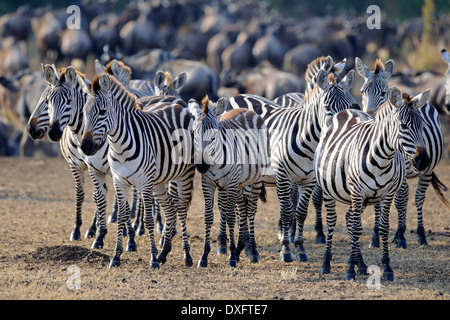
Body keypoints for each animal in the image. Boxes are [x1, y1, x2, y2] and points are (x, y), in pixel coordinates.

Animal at [78, 72, 194, 268]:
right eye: (84, 112)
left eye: (102, 112)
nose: (85, 147)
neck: (118, 146)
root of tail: (177, 104)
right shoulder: (119, 181)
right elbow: (121, 216)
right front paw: (116, 257)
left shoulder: (144, 182)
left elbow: (147, 219)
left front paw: (153, 258)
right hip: (159, 181)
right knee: (170, 207)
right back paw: (164, 253)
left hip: (184, 174)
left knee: (182, 208)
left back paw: (187, 255)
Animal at [187, 95, 268, 268]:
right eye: (193, 132)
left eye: (214, 135)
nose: (201, 166)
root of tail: (247, 110)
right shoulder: (208, 183)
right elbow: (209, 216)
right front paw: (204, 255)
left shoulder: (230, 183)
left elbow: (230, 216)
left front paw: (231, 257)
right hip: (239, 183)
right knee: (242, 209)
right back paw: (241, 249)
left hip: (255, 180)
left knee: (251, 210)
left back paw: (253, 252)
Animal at [229, 68, 358, 262]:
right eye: (327, 108)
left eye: (350, 105)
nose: (345, 128)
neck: (309, 144)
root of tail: (237, 95)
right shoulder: (283, 176)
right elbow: (286, 212)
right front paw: (286, 250)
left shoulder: (309, 180)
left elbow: (301, 212)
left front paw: (300, 248)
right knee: (240, 208)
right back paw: (245, 248)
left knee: (245, 206)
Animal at [314, 85, 430, 280]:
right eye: (403, 126)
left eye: (422, 126)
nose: (423, 161)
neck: (382, 160)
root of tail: (346, 111)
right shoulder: (357, 193)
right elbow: (356, 228)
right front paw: (349, 270)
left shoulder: (387, 195)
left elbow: (382, 228)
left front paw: (387, 267)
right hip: (330, 190)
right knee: (332, 221)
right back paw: (326, 263)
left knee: (351, 220)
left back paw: (360, 264)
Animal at [354, 58, 448, 248]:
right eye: (362, 91)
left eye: (383, 92)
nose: (369, 115)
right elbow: (381, 202)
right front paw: (376, 236)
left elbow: (401, 199)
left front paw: (401, 235)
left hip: (427, 170)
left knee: (418, 198)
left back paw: (420, 234)